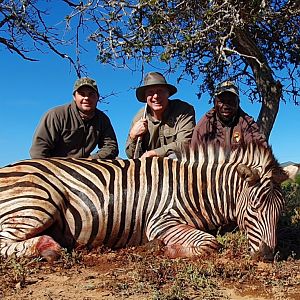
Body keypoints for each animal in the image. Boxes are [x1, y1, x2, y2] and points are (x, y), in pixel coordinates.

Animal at [0, 142, 288, 262]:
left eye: (280, 212)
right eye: (254, 208)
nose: (268, 256)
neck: (194, 189)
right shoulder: (161, 222)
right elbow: (210, 243)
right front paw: (162, 249)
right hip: (37, 202)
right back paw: (48, 247)